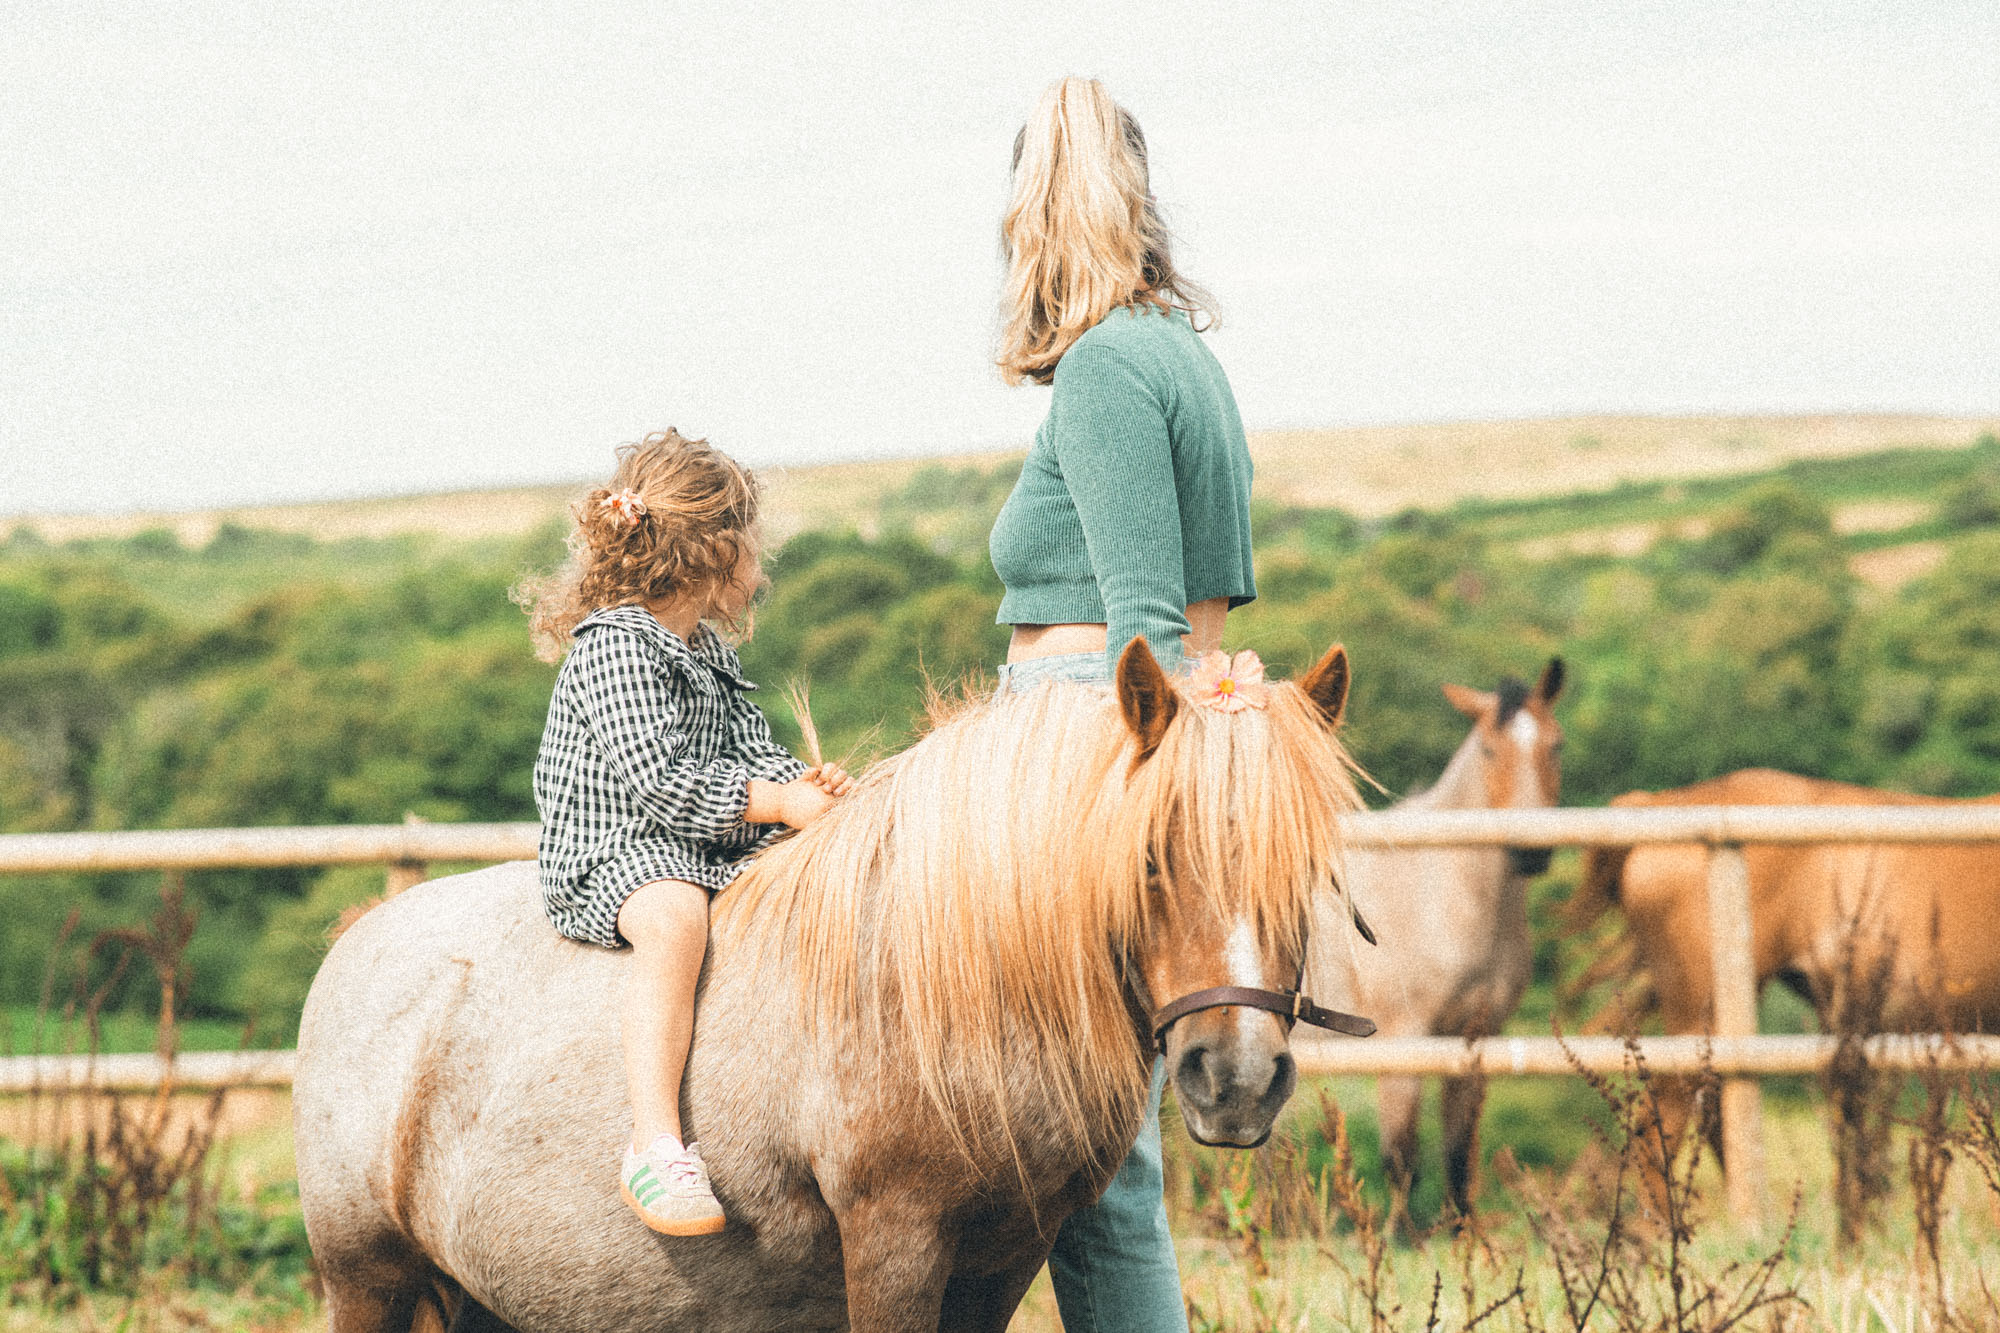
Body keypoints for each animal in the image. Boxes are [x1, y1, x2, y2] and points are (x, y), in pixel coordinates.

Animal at [294, 640, 1367, 1333]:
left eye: (1309, 863)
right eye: (1148, 857)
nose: (1235, 1078)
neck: (936, 986)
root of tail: (356, 946)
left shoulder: (999, 1259)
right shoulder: (894, 1245)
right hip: (371, 1283)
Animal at [1303, 658, 1565, 1218]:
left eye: (1556, 745)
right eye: (1488, 749)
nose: (1531, 851)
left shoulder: (1473, 1040)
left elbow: (1459, 1158)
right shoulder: (1403, 1041)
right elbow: (1402, 1161)